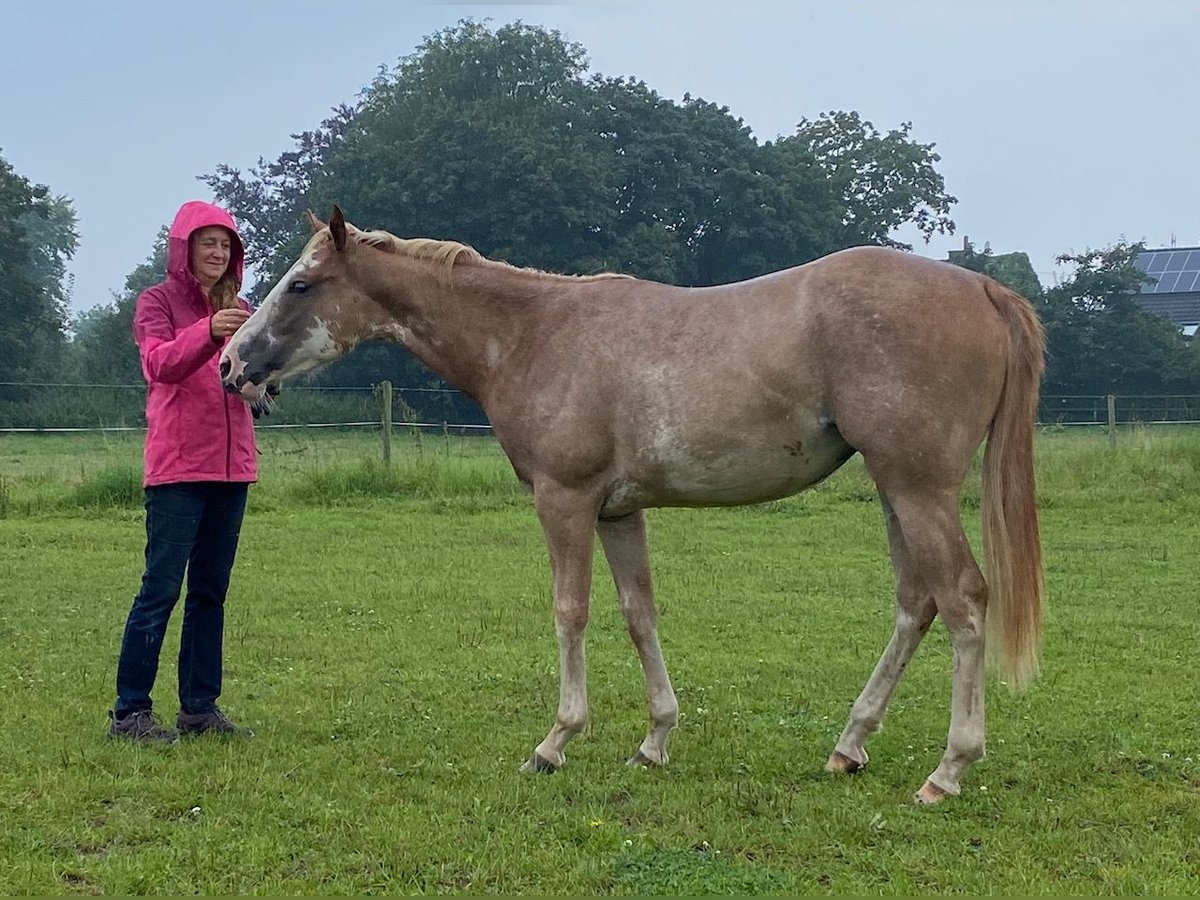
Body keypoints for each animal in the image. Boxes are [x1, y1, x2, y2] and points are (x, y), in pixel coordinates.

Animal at [220, 206, 1046, 801]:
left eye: (301, 285)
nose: (232, 362)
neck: (534, 334)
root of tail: (979, 287)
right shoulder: (619, 512)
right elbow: (638, 613)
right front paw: (654, 740)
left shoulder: (565, 500)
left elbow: (570, 612)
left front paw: (555, 742)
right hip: (894, 488)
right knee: (917, 602)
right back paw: (849, 746)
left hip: (917, 487)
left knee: (964, 600)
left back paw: (948, 770)